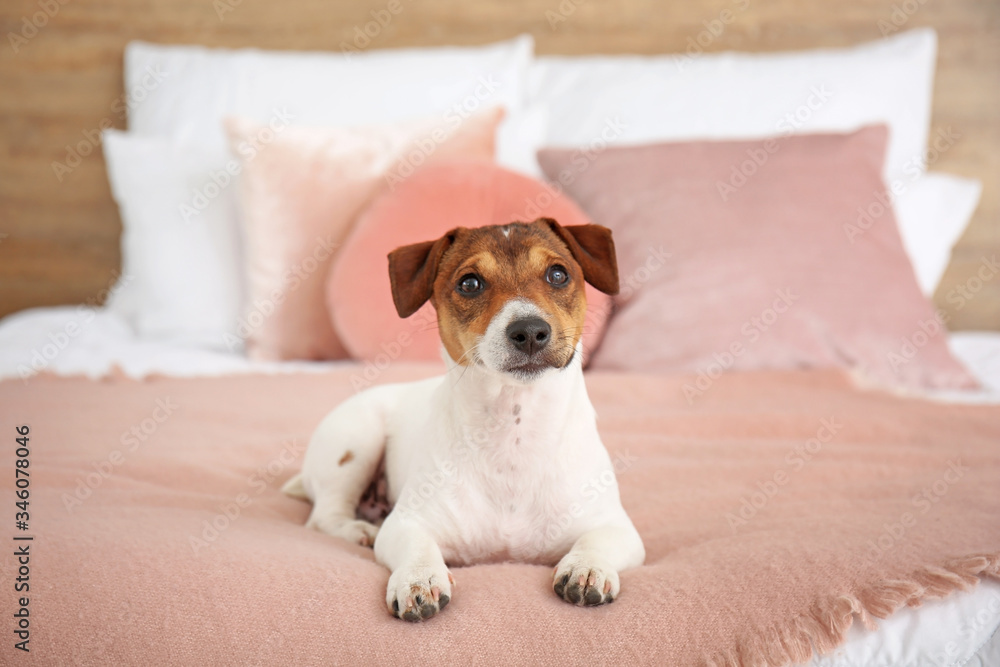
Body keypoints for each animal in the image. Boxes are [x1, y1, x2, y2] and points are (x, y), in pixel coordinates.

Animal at [284, 218, 640, 620]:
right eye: (470, 283)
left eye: (558, 274)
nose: (530, 331)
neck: (514, 431)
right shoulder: (406, 523)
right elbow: (418, 547)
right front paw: (419, 578)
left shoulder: (617, 527)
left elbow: (599, 540)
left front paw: (587, 567)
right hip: (355, 441)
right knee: (324, 516)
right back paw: (359, 529)